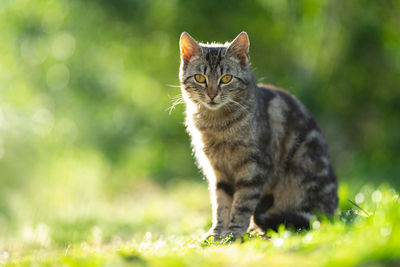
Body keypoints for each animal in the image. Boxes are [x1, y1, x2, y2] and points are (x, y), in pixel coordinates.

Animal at [178, 32, 338, 240]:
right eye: (200, 78)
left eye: (226, 78)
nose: (212, 95)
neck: (216, 126)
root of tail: (332, 212)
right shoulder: (217, 173)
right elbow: (221, 206)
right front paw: (217, 233)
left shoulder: (253, 169)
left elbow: (241, 205)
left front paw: (233, 233)